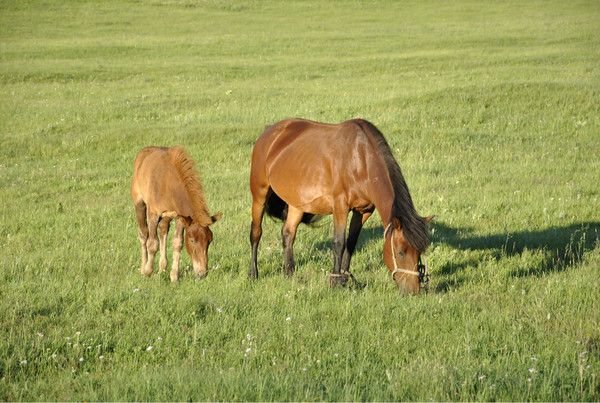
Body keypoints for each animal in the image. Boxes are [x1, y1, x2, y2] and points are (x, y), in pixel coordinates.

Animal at [132, 147, 221, 282]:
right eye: (192, 240)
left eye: (210, 240)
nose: (202, 274)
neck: (169, 182)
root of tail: (143, 151)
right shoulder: (153, 214)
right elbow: (152, 243)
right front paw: (147, 271)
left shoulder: (181, 217)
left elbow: (177, 243)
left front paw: (174, 277)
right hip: (139, 204)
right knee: (143, 234)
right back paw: (143, 268)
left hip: (167, 217)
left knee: (163, 231)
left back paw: (162, 268)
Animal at [248, 118, 432, 296]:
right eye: (400, 252)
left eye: (419, 252)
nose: (413, 291)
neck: (360, 159)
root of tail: (270, 132)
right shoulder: (340, 207)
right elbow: (339, 243)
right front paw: (336, 281)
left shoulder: (364, 211)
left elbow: (351, 242)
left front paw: (345, 277)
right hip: (259, 194)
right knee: (256, 232)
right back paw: (253, 273)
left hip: (297, 202)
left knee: (288, 233)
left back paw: (289, 274)